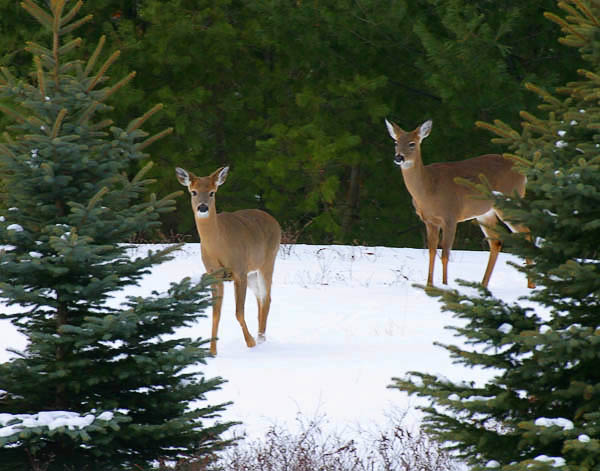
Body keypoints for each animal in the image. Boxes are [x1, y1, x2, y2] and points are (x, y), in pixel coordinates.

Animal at [176, 166, 282, 354]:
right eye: (193, 191)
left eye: (212, 192)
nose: (202, 207)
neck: (219, 245)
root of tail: (274, 221)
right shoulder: (214, 274)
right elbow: (215, 313)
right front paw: (212, 351)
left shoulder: (239, 270)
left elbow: (238, 311)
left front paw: (250, 343)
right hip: (252, 272)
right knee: (260, 298)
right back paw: (260, 337)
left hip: (268, 261)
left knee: (267, 298)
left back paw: (260, 339)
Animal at [386, 119, 532, 288]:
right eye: (396, 142)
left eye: (412, 143)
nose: (398, 157)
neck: (429, 189)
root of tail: (523, 173)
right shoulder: (429, 221)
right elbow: (431, 252)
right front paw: (429, 285)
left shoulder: (451, 216)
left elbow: (445, 253)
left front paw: (444, 284)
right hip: (485, 213)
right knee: (496, 241)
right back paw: (483, 284)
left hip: (508, 202)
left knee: (526, 233)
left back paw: (531, 285)